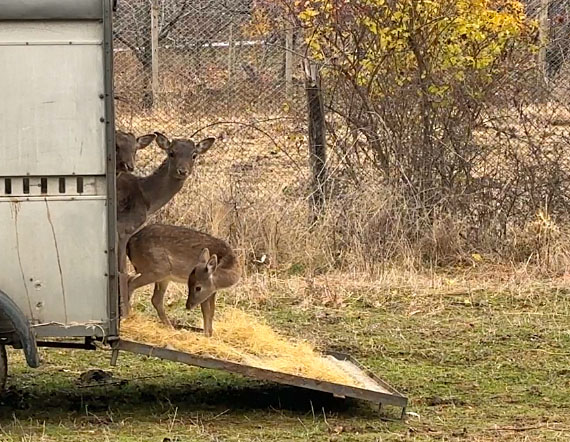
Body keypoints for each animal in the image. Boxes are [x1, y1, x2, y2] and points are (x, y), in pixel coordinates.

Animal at [114, 132, 214, 318]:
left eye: (194, 155)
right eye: (171, 152)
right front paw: (125, 314)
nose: (182, 171)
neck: (147, 199)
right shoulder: (124, 228)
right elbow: (122, 270)